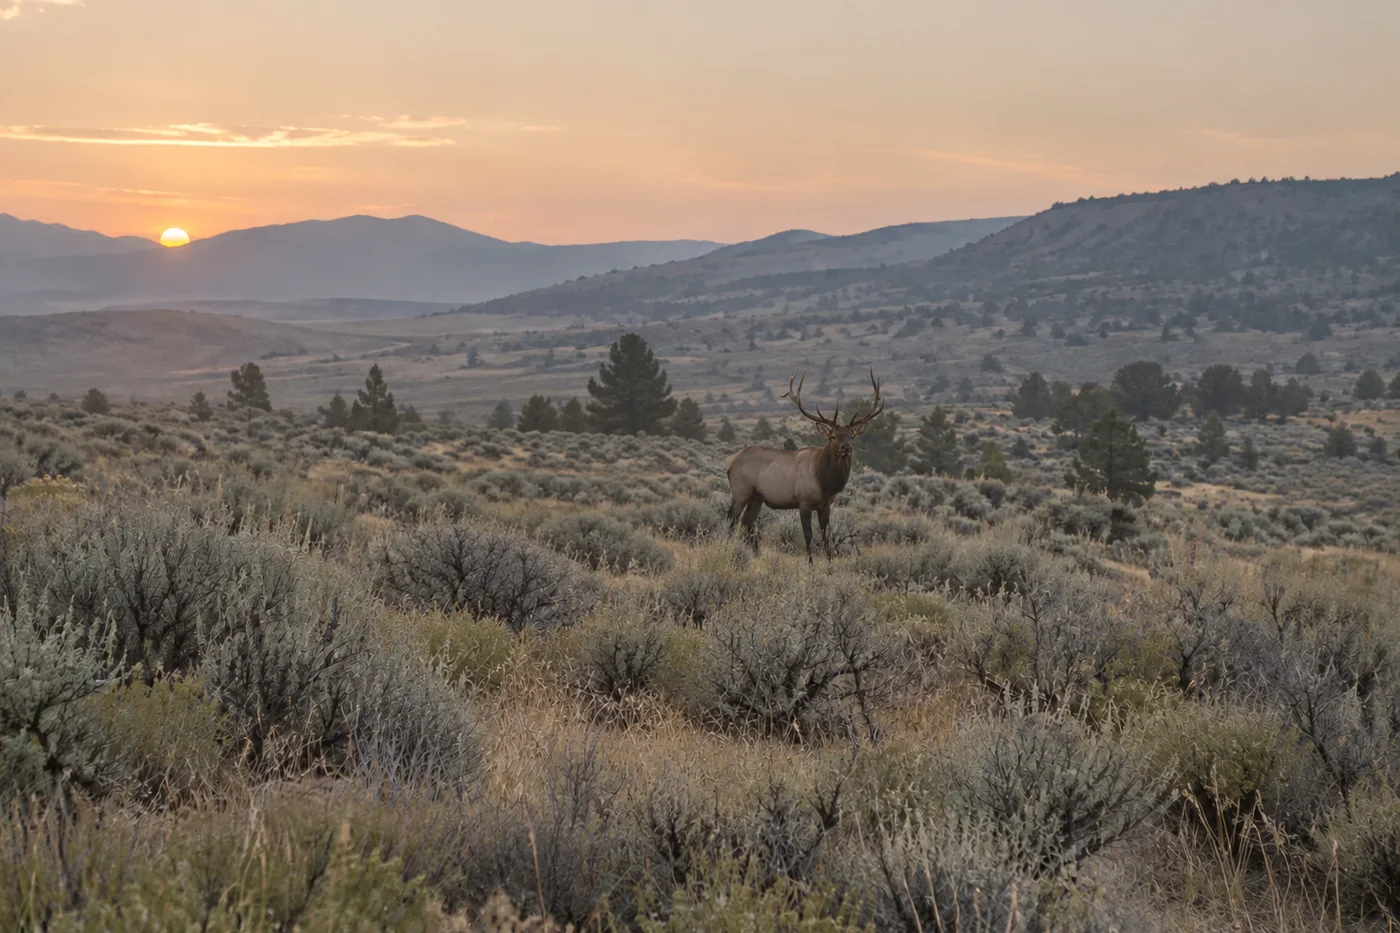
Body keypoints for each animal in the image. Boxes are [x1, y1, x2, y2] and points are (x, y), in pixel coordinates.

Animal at [724, 368, 885, 563]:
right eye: (832, 436)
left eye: (851, 436)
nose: (846, 448)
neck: (825, 482)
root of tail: (730, 460)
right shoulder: (804, 501)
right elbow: (808, 535)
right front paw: (811, 563)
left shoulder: (825, 505)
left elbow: (826, 536)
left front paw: (829, 563)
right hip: (741, 490)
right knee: (732, 518)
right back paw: (728, 549)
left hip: (756, 497)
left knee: (747, 522)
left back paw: (756, 555)